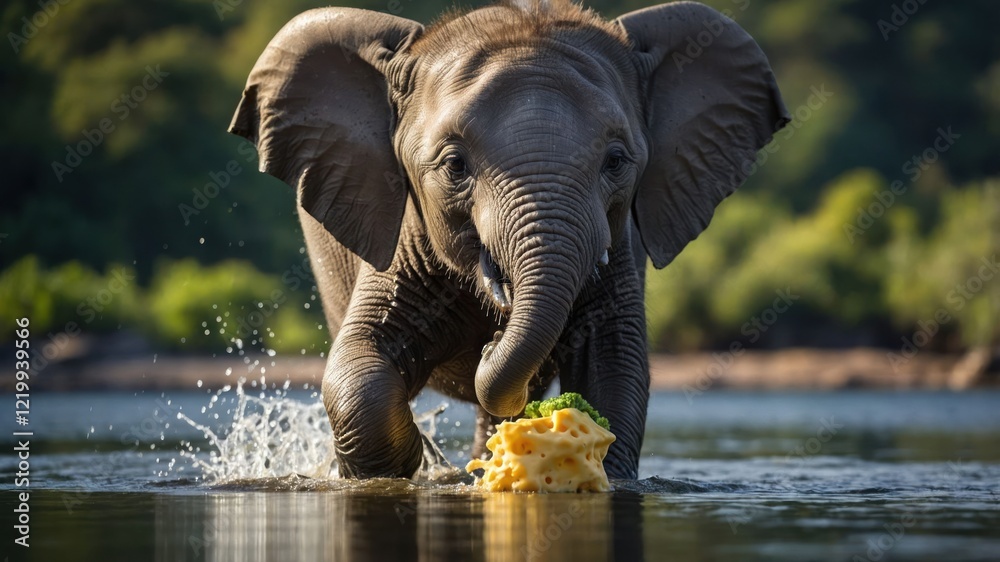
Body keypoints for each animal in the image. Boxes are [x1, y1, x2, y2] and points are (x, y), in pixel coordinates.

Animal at [229, 0, 789, 479]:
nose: (493, 339)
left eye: (616, 161)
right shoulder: (404, 236)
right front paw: (422, 468)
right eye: (455, 165)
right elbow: (359, 365)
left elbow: (616, 367)